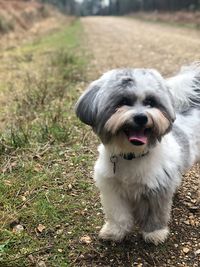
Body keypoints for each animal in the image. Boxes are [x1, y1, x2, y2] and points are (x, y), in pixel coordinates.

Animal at [75, 62, 200, 245]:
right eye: (123, 102)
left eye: (150, 102)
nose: (141, 117)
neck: (132, 155)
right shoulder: (112, 189)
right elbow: (118, 214)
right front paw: (114, 231)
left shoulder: (156, 189)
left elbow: (155, 213)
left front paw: (155, 233)